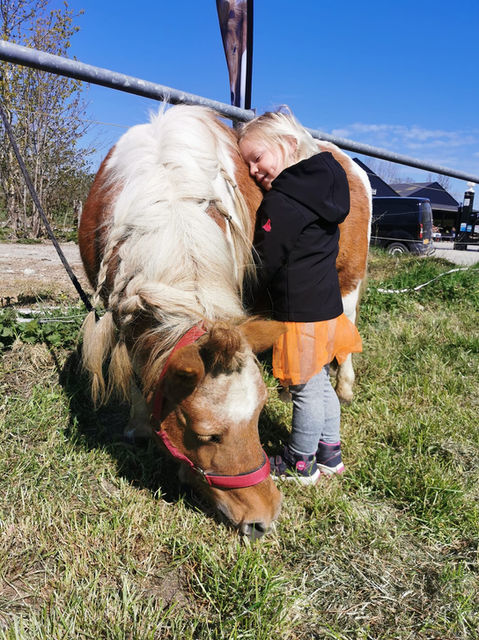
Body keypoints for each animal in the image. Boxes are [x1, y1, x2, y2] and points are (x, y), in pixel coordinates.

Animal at [78, 105, 371, 538]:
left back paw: (344, 387)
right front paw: (139, 427)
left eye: (258, 417)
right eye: (206, 434)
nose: (265, 517)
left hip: (347, 283)